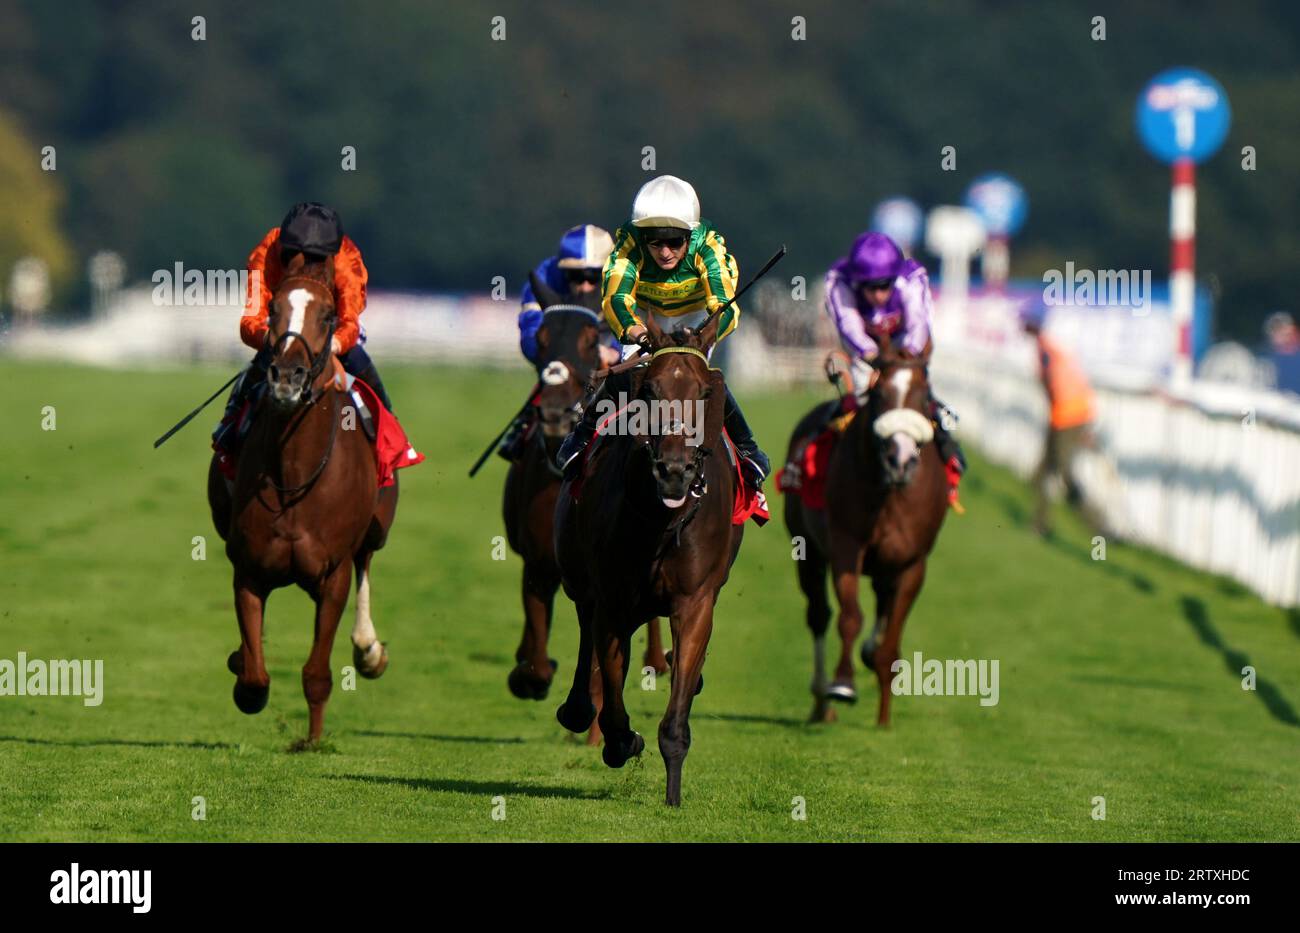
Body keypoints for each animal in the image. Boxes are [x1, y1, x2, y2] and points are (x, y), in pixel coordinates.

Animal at [202, 252, 392, 748]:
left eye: (327, 316)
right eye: (272, 310)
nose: (286, 378)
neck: (294, 472)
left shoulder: (332, 575)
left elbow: (316, 673)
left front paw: (312, 740)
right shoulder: (248, 569)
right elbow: (254, 674)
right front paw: (243, 674)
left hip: (376, 527)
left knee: (367, 560)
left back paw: (369, 649)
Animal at [499, 272, 670, 743]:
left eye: (592, 339)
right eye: (540, 337)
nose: (556, 414)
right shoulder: (540, 564)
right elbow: (539, 660)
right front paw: (530, 674)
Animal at [553, 311, 748, 805]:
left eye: (705, 392)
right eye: (651, 390)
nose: (674, 471)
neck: (661, 521)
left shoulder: (695, 602)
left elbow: (676, 716)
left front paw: (673, 793)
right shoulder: (613, 601)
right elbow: (613, 703)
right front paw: (622, 743)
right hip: (582, 583)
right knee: (585, 636)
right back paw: (577, 709)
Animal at [785, 335, 951, 732]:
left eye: (924, 396)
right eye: (879, 394)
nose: (901, 461)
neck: (888, 494)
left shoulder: (912, 563)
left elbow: (890, 639)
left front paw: (884, 718)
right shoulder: (846, 547)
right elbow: (850, 617)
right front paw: (843, 684)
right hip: (807, 549)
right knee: (819, 614)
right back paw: (821, 702)